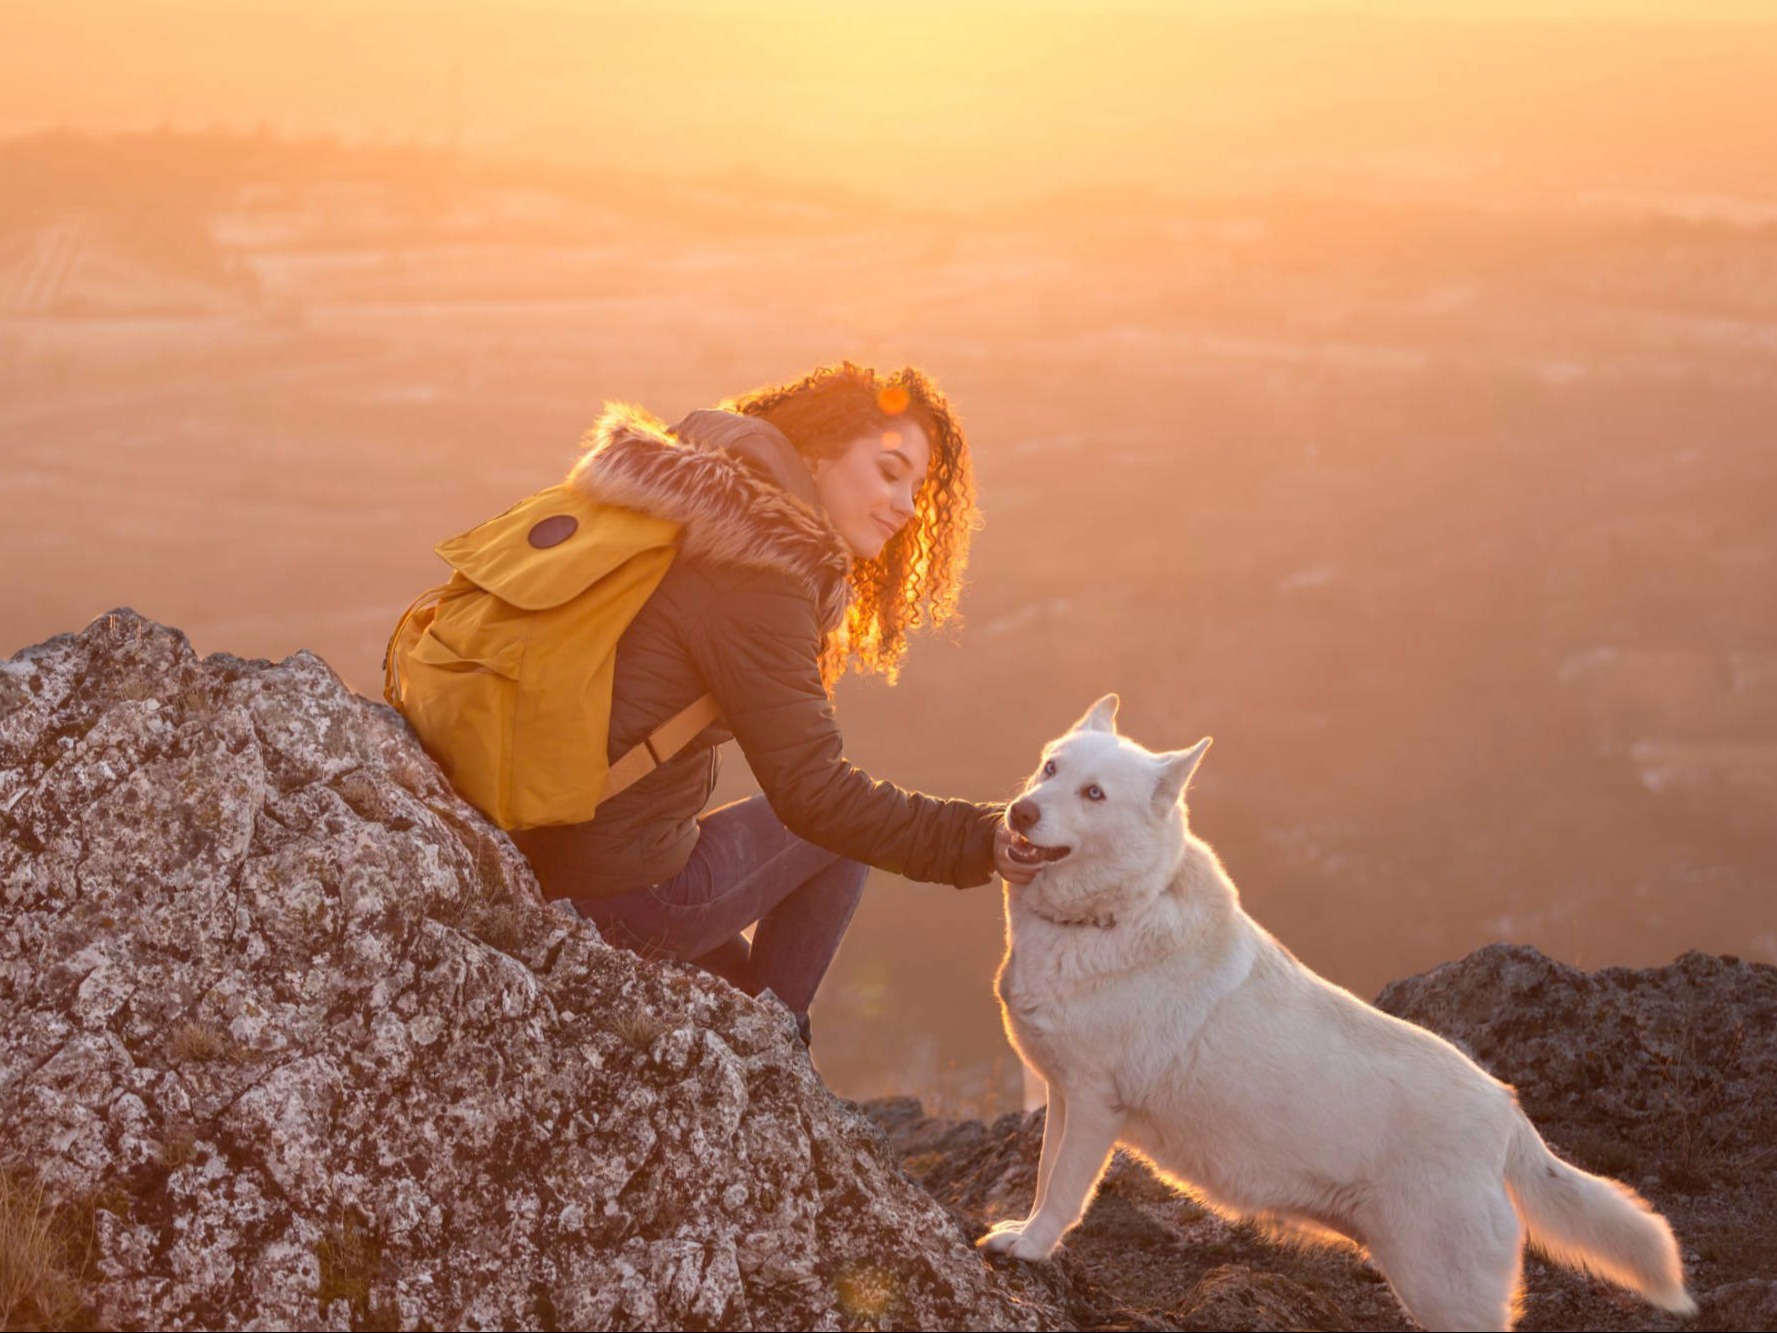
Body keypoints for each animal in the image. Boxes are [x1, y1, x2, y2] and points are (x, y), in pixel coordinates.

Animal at [988, 700, 1691, 1333]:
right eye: (1050, 768)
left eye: (1094, 794)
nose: (1021, 811)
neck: (1111, 916)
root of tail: (1508, 1115)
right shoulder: (1062, 1096)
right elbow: (1044, 1177)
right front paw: (1020, 1229)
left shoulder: (1094, 1105)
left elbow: (1064, 1192)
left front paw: (1034, 1247)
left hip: (1445, 1292)